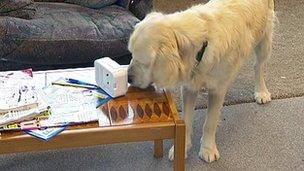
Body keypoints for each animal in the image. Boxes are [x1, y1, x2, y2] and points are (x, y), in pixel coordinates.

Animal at [127, 0, 274, 163]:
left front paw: (208, 149)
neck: (203, 44)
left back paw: (261, 91)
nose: (128, 78)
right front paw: (182, 148)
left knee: (258, 66)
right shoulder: (189, 87)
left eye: (144, 63)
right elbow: (187, 119)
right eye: (131, 54)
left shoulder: (217, 90)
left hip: (264, 39)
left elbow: (210, 123)